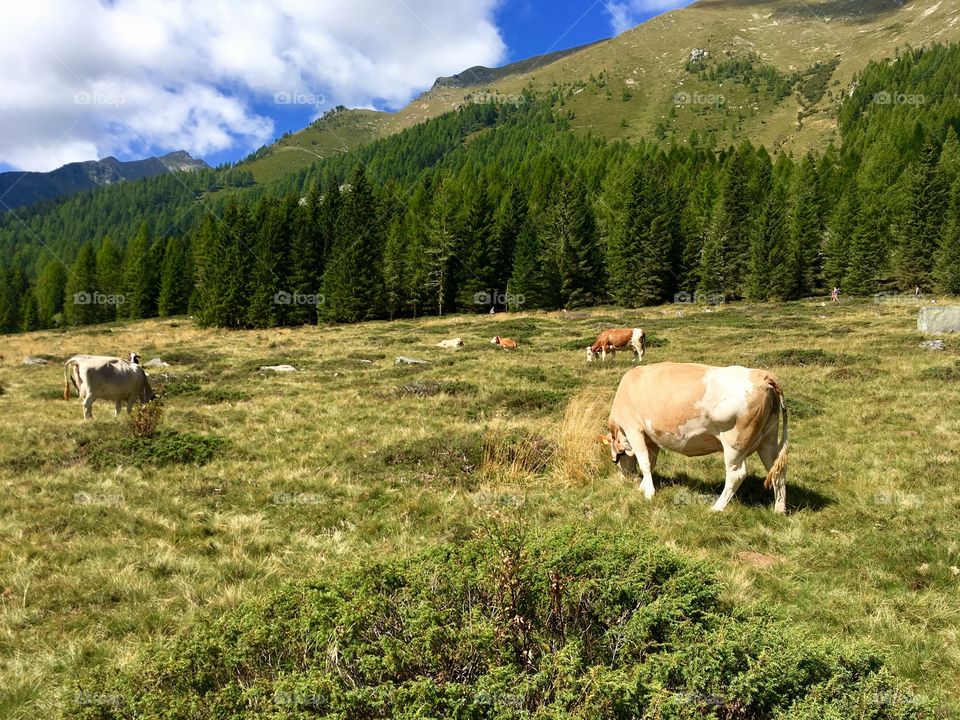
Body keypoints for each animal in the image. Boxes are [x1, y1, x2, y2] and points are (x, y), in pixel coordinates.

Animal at [603, 362, 788, 513]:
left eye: (616, 459)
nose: (625, 478)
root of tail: (763, 376)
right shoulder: (651, 438)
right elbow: (651, 461)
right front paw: (644, 486)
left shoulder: (634, 430)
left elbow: (645, 463)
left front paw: (648, 493)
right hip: (768, 440)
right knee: (777, 469)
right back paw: (779, 509)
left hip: (734, 444)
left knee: (736, 474)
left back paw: (717, 507)